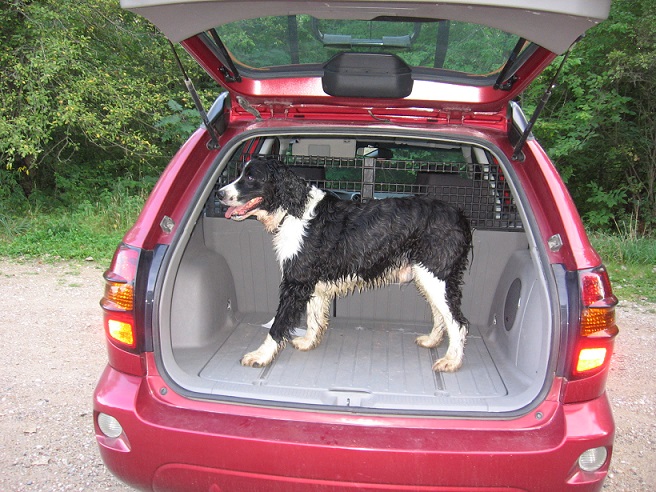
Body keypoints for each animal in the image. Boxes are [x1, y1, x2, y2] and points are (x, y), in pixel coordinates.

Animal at [219, 159, 472, 372]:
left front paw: (260, 356)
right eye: (240, 173)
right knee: (441, 315)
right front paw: (308, 342)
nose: (220, 193)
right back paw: (432, 341)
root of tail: (458, 215)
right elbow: (313, 318)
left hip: (436, 276)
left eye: (251, 177)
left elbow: (278, 324)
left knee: (458, 323)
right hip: (428, 277)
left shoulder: (295, 281)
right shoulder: (311, 283)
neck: (293, 208)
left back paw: (451, 361)